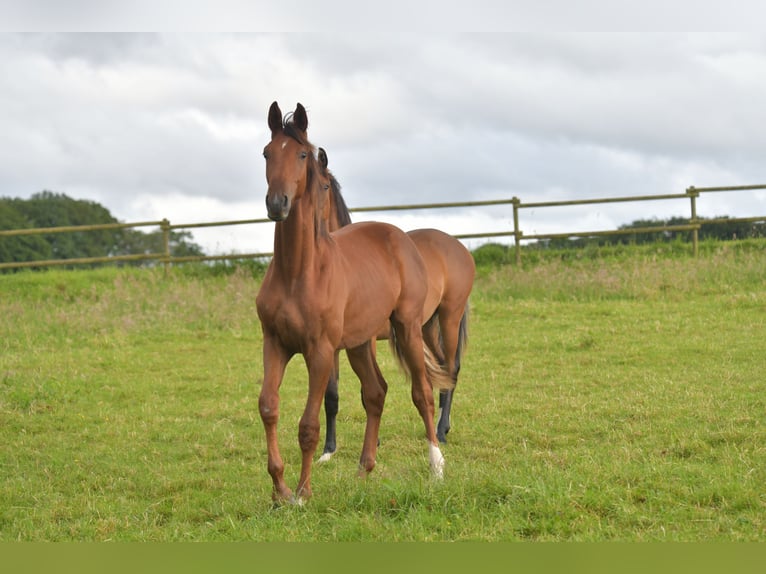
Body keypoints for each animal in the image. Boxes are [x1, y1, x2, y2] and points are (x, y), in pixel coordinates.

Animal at [255, 103, 452, 504]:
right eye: (266, 153)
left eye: (301, 155)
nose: (277, 204)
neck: (298, 272)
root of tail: (400, 238)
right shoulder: (275, 344)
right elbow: (269, 407)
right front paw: (280, 489)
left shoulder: (319, 350)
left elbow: (309, 424)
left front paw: (303, 493)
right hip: (361, 343)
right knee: (376, 393)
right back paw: (363, 472)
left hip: (408, 328)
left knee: (422, 392)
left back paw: (436, 466)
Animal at [316, 148, 474, 464]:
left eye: (323, 186)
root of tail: (458, 245)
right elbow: (331, 395)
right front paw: (328, 451)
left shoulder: (366, 342)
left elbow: (367, 392)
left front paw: (372, 445)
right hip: (425, 327)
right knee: (440, 368)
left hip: (449, 316)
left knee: (452, 367)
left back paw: (441, 431)